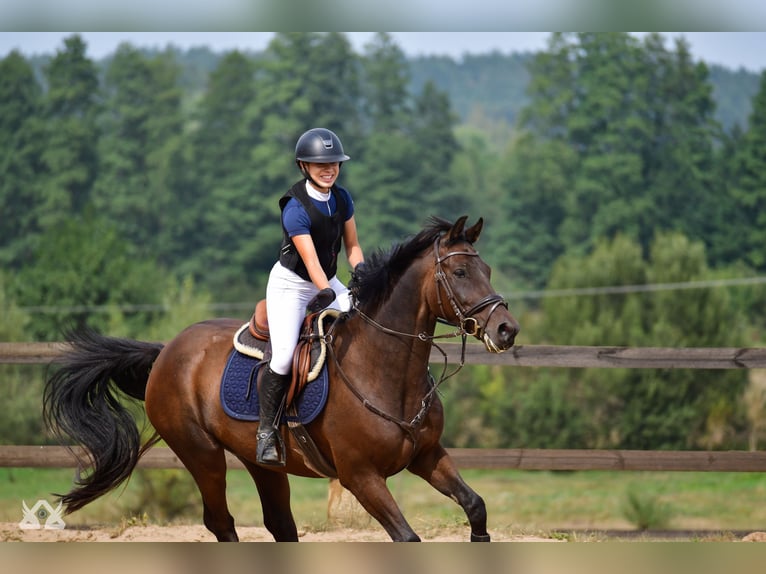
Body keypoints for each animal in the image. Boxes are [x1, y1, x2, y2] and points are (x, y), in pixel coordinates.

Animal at [42, 217, 520, 544]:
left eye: (488, 271)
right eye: (460, 274)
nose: (506, 330)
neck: (384, 370)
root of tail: (166, 352)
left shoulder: (427, 456)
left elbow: (475, 507)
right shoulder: (361, 476)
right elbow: (406, 536)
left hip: (260, 463)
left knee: (279, 525)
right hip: (201, 454)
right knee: (221, 521)